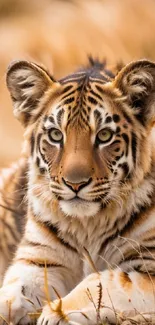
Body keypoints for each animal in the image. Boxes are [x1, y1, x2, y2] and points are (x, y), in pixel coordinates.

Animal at [0, 58, 155, 324]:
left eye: (104, 135)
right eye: (55, 135)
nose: (75, 184)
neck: (86, 225)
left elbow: (104, 281)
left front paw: (55, 314)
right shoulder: (39, 260)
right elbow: (11, 293)